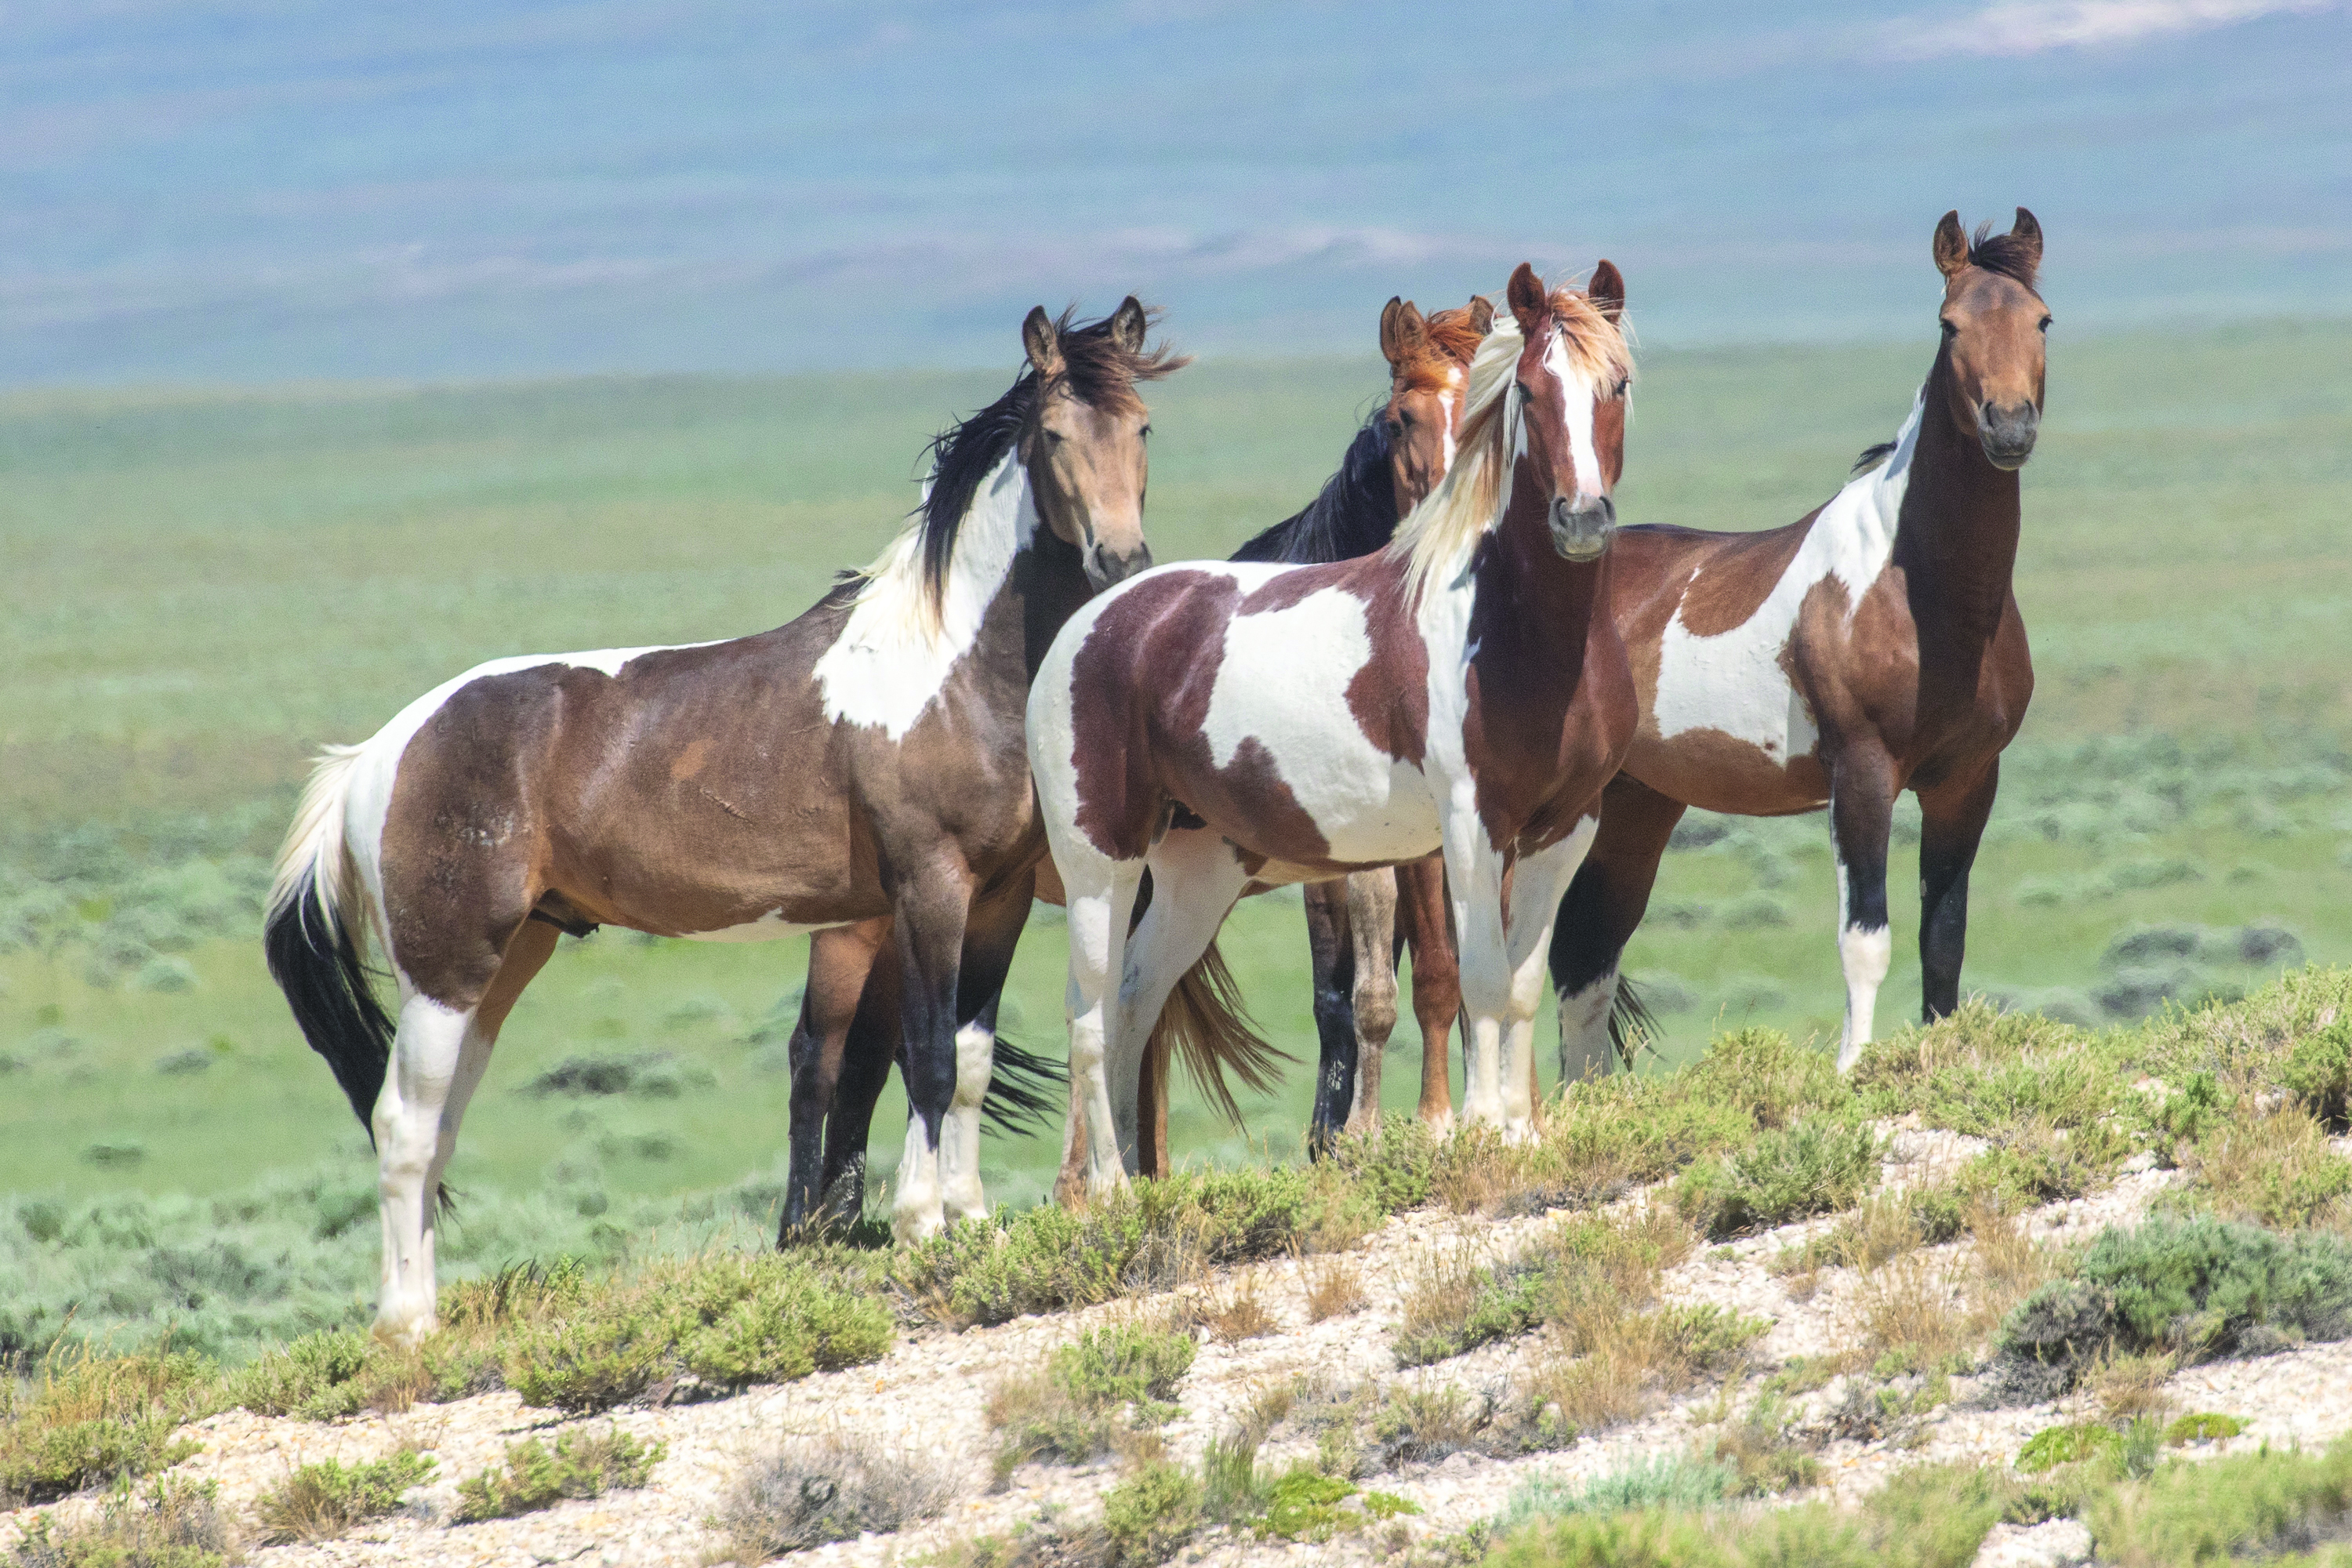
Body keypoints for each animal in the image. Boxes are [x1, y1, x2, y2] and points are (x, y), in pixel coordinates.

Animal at [267, 300, 1185, 1345]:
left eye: (1143, 426)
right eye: (1057, 435)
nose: (1121, 559)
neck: (948, 665)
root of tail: (375, 755)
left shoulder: (997, 902)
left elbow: (972, 1062)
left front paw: (974, 1219)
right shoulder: (928, 891)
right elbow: (925, 1058)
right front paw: (922, 1224)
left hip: (505, 963)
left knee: (440, 1123)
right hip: (447, 969)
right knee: (404, 1126)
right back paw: (406, 1322)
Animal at [781, 288, 1496, 1232]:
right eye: (1403, 416)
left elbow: (1404, 984)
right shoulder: (1347, 867)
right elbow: (1368, 995)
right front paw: (1379, 1136)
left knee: (868, 1056)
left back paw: (849, 1217)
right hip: (865, 926)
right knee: (822, 1057)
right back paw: (814, 1226)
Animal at [1030, 260, 1637, 1189]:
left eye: (1619, 384)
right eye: (1529, 391)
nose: (1581, 518)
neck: (1513, 627)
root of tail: (1092, 624)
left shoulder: (1561, 832)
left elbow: (1521, 985)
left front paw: (1521, 1134)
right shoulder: (1468, 830)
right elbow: (1476, 979)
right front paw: (1475, 1133)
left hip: (1196, 872)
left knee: (1136, 999)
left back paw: (1136, 1179)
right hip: (1101, 864)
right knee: (1091, 1013)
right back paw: (1104, 1188)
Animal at [1543, 211, 2042, 1081]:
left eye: (2042, 320)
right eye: (1950, 324)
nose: (2008, 427)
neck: (1920, 589)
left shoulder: (1967, 781)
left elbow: (1943, 939)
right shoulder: (1864, 774)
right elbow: (1865, 939)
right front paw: (1853, 1069)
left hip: (1637, 806)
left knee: (1586, 956)